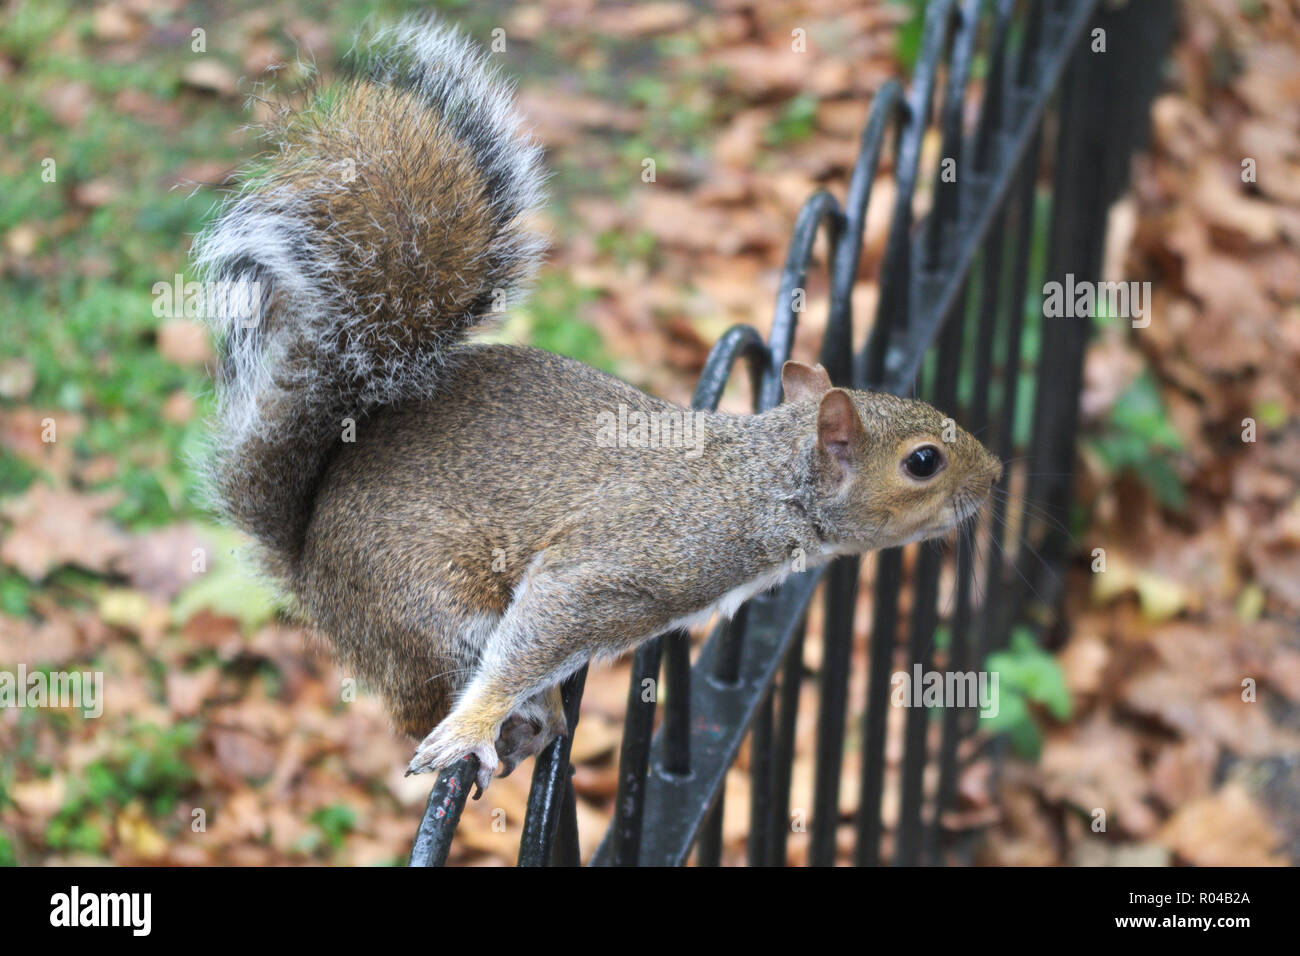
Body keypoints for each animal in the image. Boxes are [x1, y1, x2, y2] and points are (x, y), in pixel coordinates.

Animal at [195, 16, 1003, 790]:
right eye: (923, 462)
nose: (995, 477)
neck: (763, 486)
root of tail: (308, 558)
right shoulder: (623, 564)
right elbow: (540, 629)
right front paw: (474, 722)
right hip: (426, 605)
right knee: (425, 695)